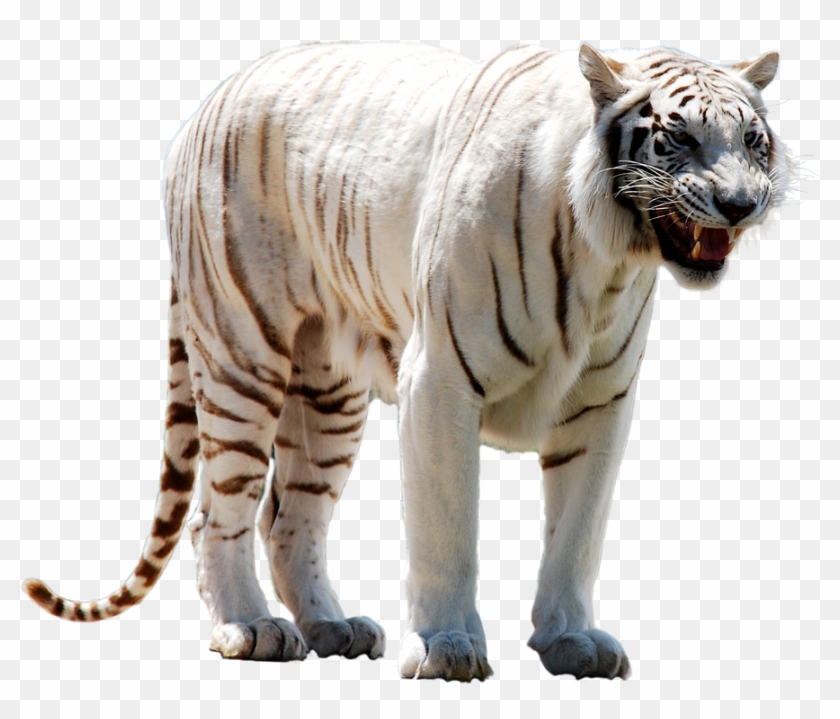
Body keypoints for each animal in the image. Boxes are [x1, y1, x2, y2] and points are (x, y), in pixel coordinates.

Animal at [24, 42, 788, 682]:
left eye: (753, 140)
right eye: (679, 136)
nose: (740, 203)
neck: (608, 257)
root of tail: (214, 97)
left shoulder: (601, 404)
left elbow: (578, 532)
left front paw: (572, 639)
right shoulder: (440, 382)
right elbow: (449, 527)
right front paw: (448, 648)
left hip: (327, 396)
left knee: (289, 520)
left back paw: (333, 627)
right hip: (243, 351)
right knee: (218, 514)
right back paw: (250, 627)